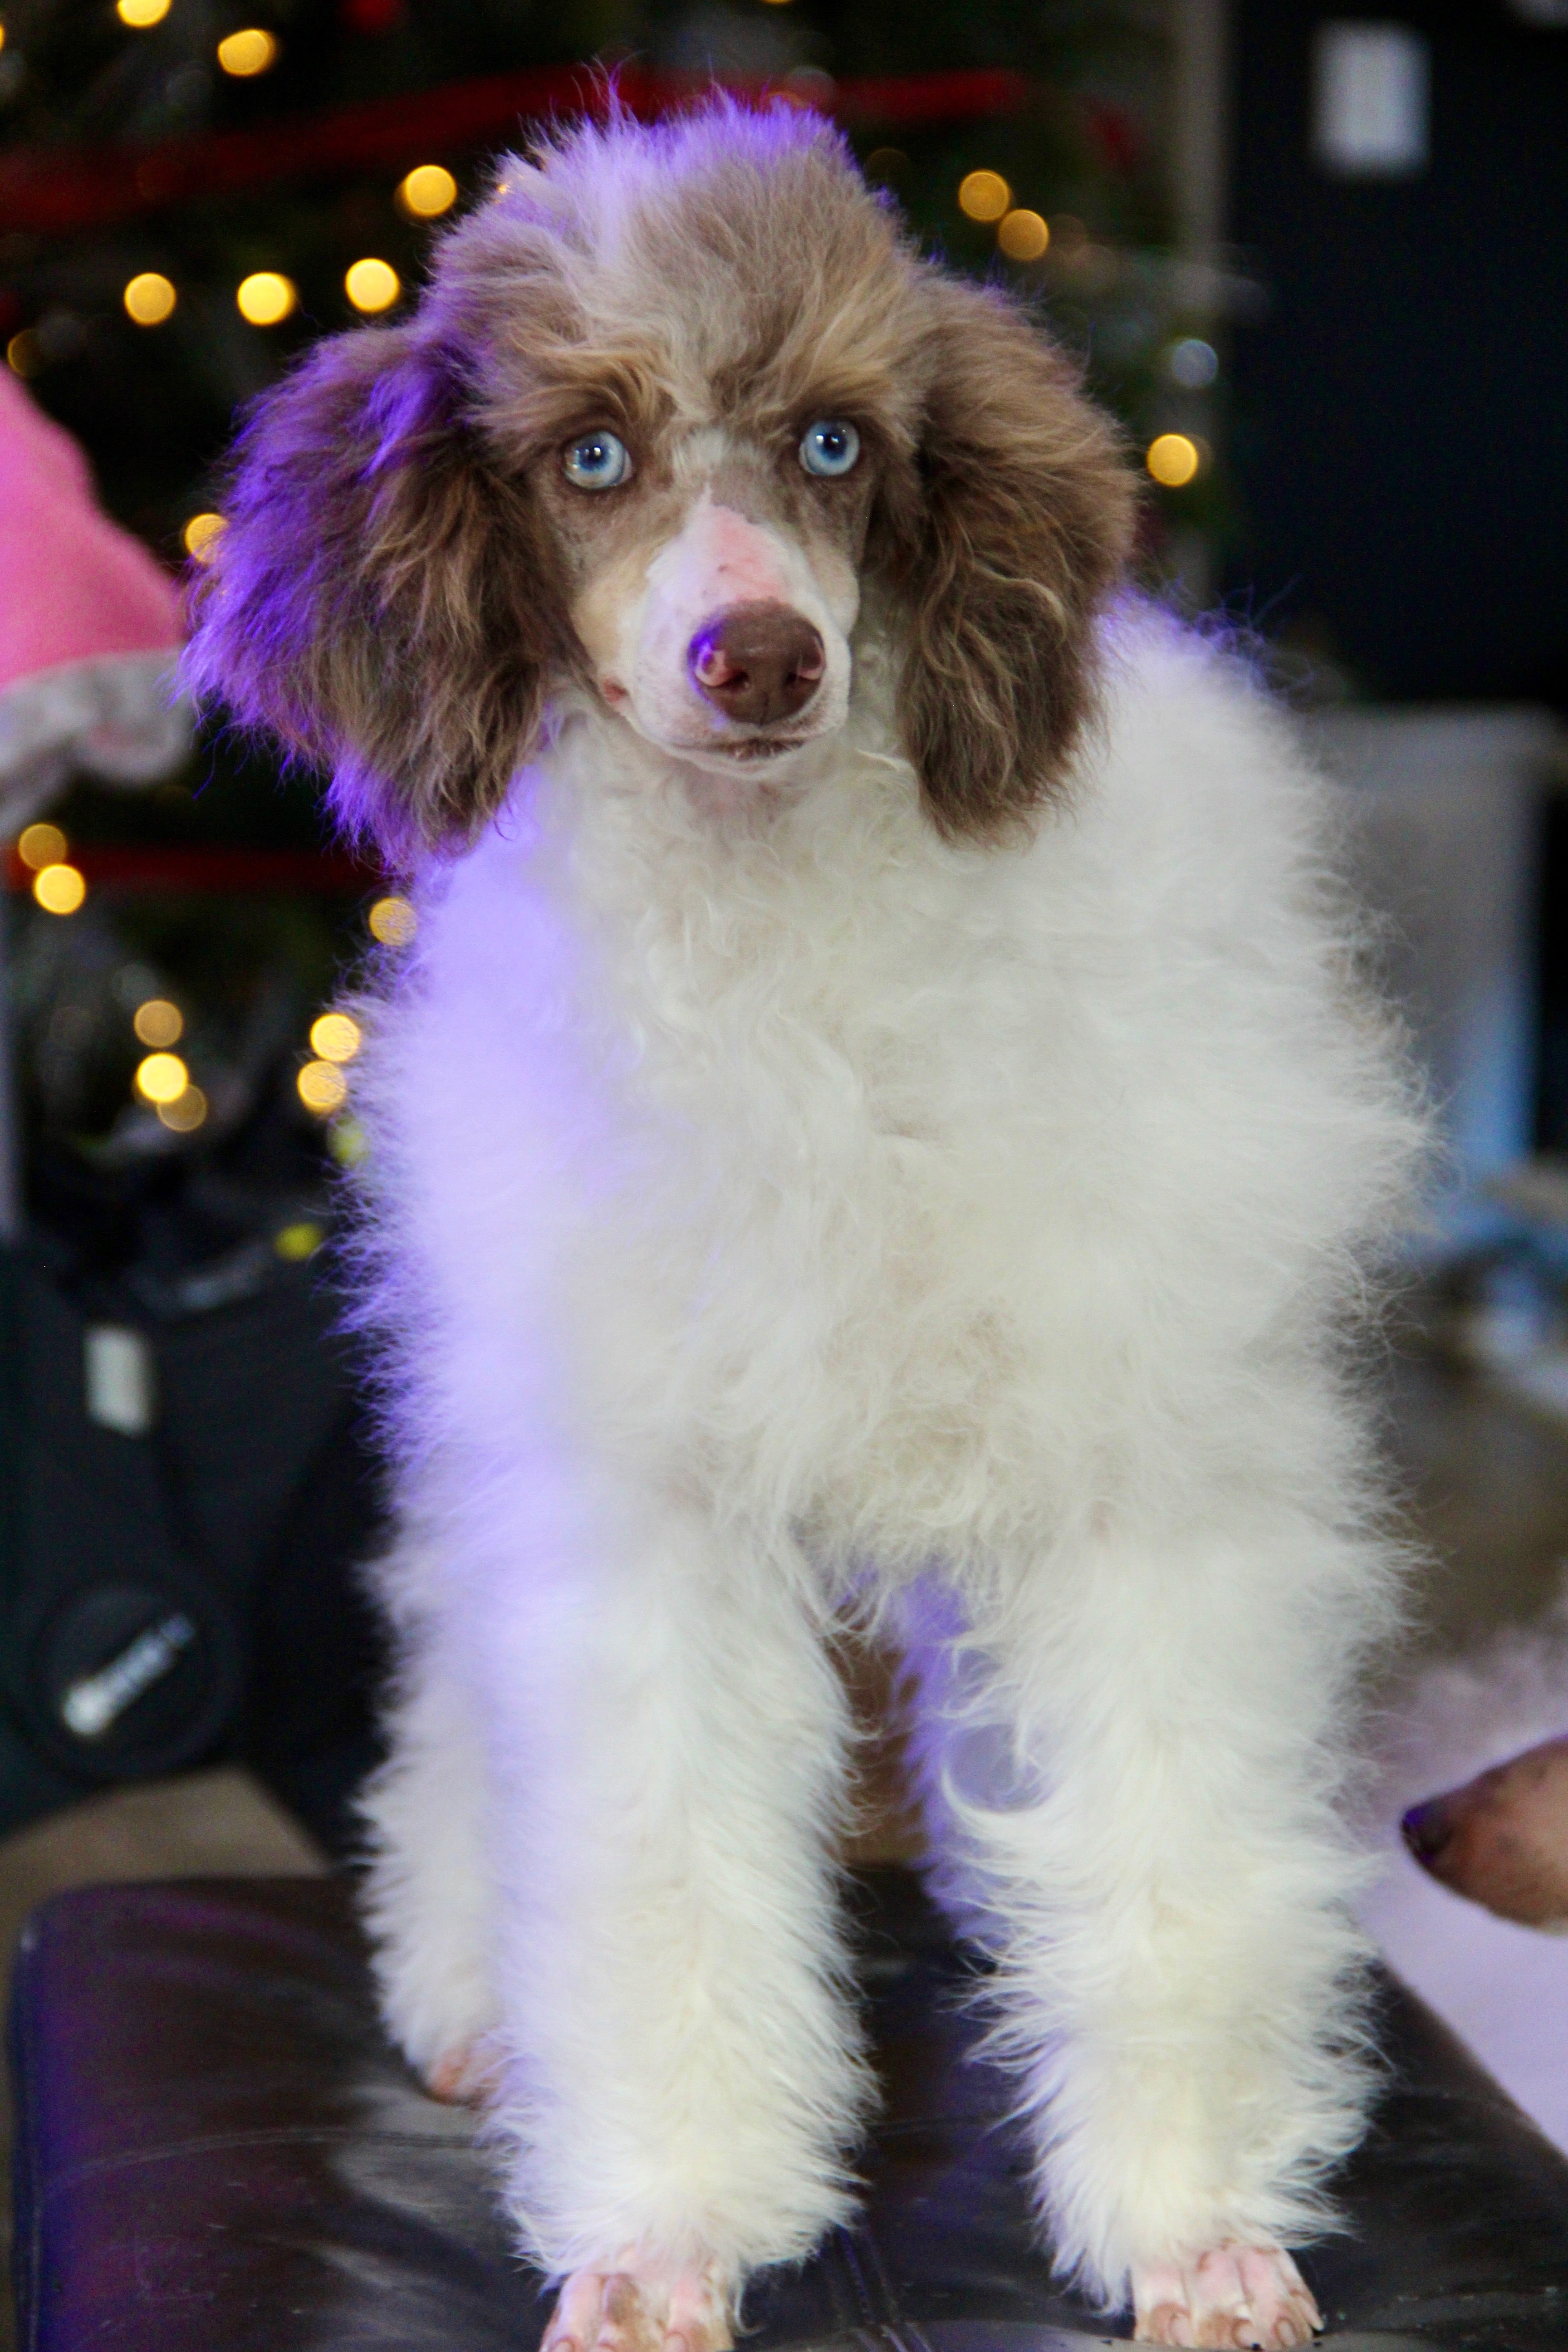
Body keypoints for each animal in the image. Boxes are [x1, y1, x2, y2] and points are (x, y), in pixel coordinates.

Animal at [184, 96, 1420, 2352]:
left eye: (836, 445)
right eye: (590, 458)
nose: (755, 655)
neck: (806, 962)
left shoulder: (1141, 1482)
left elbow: (1175, 1859)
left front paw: (1190, 2220)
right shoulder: (644, 1514)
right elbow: (655, 1878)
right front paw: (662, 2233)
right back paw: (471, 1991)